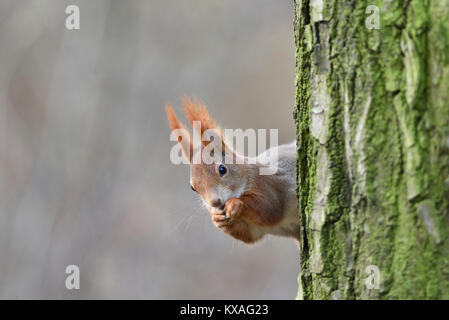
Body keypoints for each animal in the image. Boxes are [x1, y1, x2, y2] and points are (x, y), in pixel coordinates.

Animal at [164, 96, 298, 244]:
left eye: (222, 169)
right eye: (193, 188)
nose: (215, 203)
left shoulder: (269, 185)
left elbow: (270, 208)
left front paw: (236, 204)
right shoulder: (254, 230)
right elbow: (249, 235)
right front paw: (217, 219)